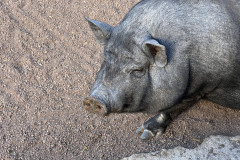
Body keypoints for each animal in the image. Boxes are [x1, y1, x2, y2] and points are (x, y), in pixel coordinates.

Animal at [82, 0, 240, 139]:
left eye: (138, 70)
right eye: (105, 59)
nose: (94, 99)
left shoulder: (201, 85)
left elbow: (174, 107)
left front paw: (143, 134)